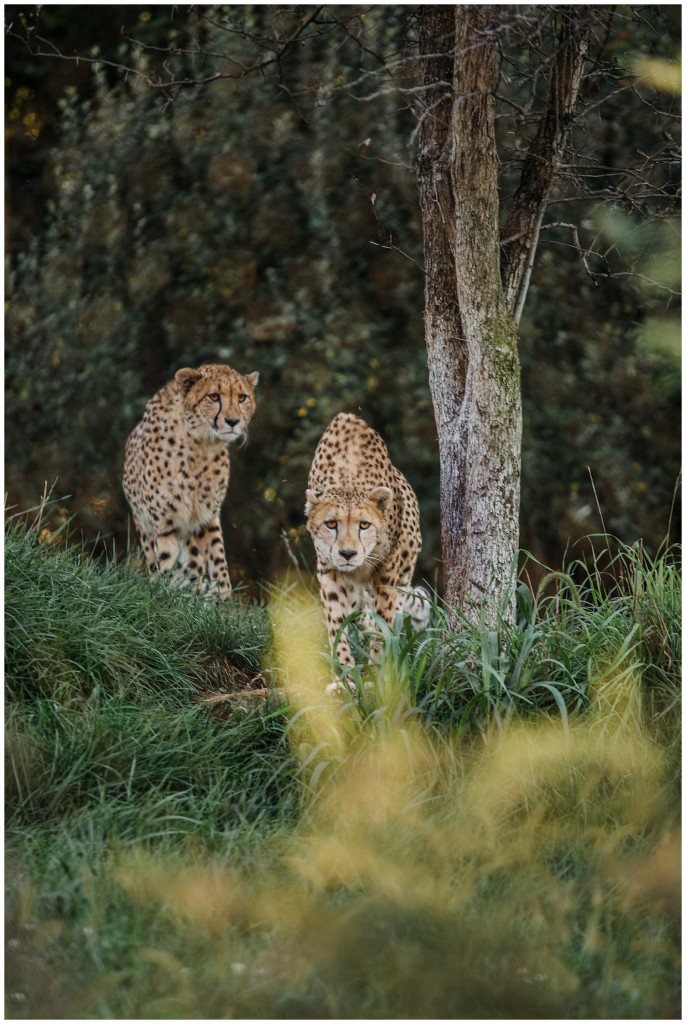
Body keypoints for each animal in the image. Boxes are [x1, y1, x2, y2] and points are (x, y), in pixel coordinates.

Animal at [122, 362, 259, 598]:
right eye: (213, 397)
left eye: (242, 397)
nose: (233, 421)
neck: (201, 444)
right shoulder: (165, 522)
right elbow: (169, 562)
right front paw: (172, 598)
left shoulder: (206, 519)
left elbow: (218, 562)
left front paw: (223, 601)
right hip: (145, 527)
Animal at [307, 411, 430, 675]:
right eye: (331, 524)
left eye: (364, 525)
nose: (348, 553)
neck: (347, 480)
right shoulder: (328, 568)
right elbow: (336, 620)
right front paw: (344, 672)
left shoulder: (388, 567)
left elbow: (385, 617)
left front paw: (378, 667)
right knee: (361, 608)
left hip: (405, 565)